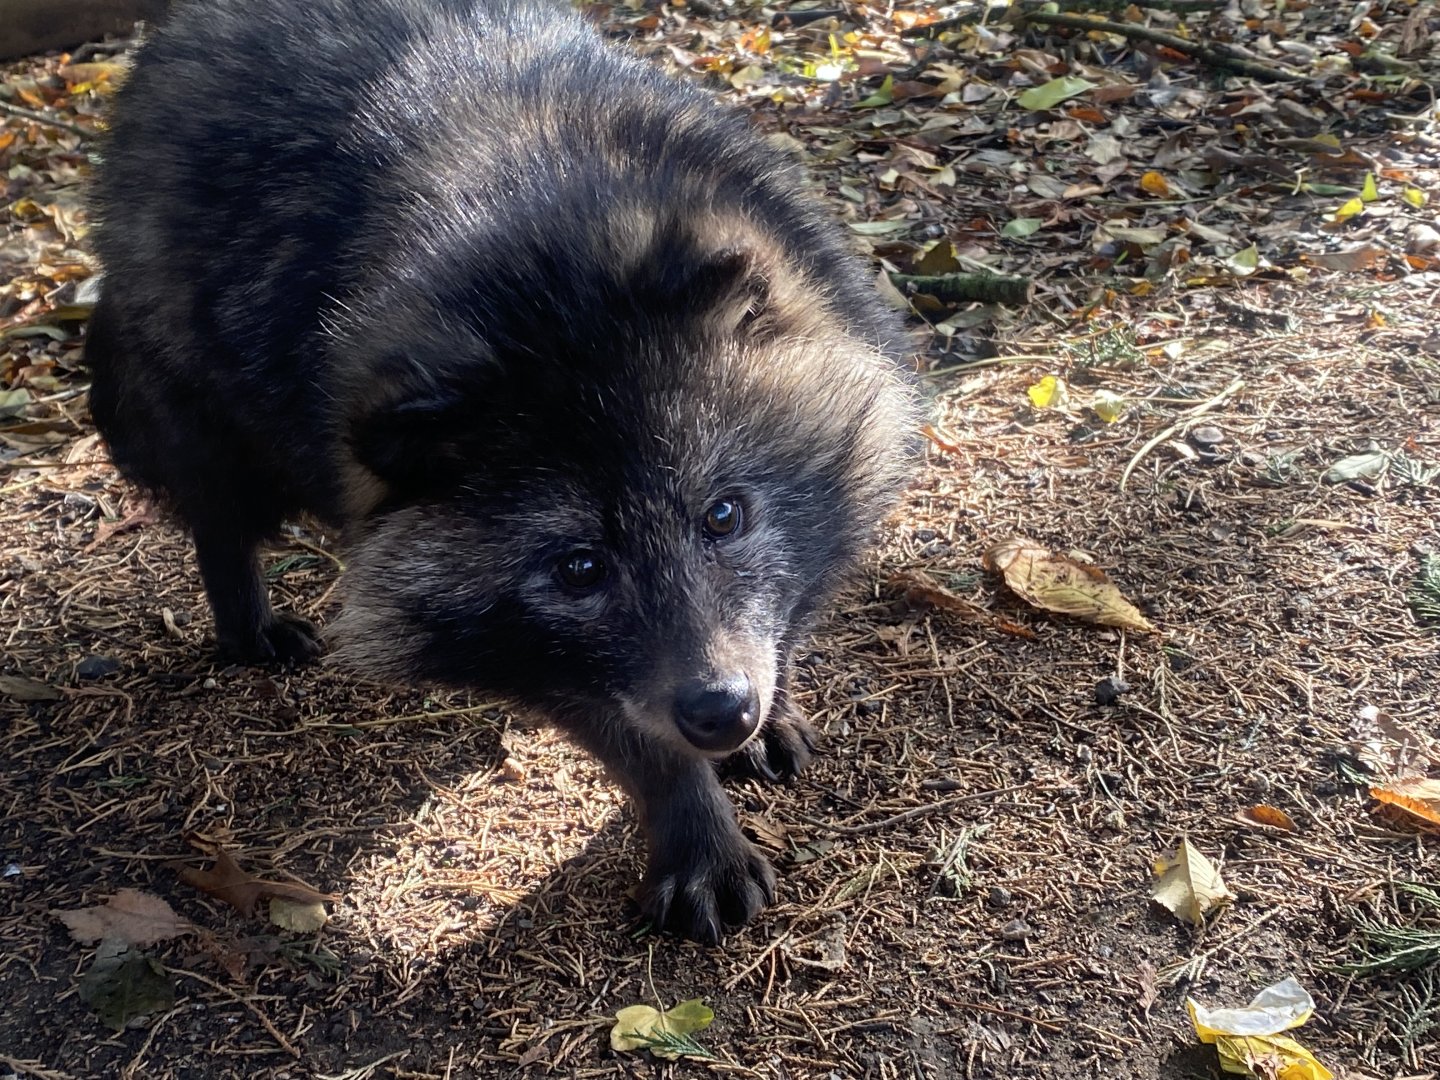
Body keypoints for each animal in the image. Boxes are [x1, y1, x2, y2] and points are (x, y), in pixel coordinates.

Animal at [85, 0, 917, 942]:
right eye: (580, 567)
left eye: (724, 515)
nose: (721, 709)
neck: (548, 239)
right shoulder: (543, 646)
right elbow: (628, 731)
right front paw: (696, 832)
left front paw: (776, 710)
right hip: (216, 412)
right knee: (219, 518)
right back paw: (244, 618)